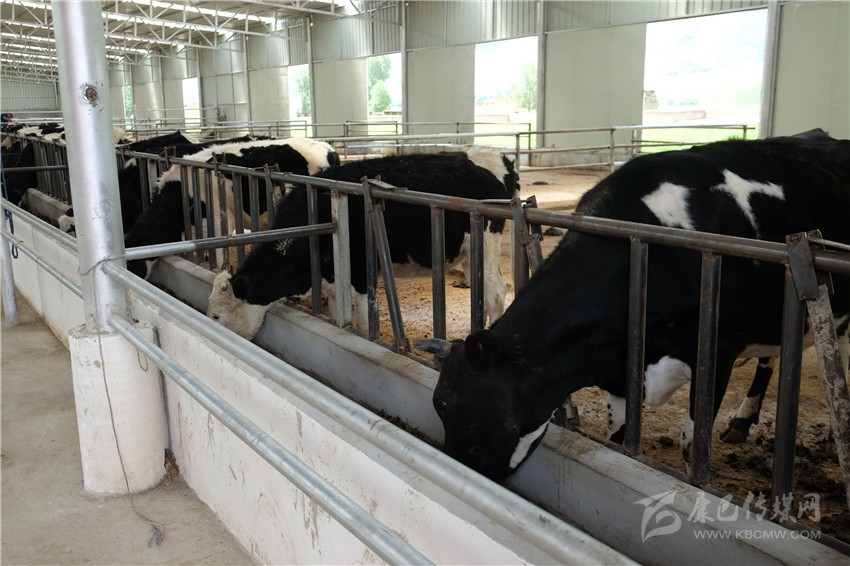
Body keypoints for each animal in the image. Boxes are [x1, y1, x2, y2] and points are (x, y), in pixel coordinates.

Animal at [207, 147, 519, 339]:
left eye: (217, 317)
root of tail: (497, 157)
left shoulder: (358, 269)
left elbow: (363, 317)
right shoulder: (331, 279)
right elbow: (339, 314)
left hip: (486, 241)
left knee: (496, 292)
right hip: (467, 253)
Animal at [414, 133, 850, 483]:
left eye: (482, 415)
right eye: (441, 406)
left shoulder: (718, 353)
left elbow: (692, 448)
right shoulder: (621, 370)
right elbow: (619, 437)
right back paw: (743, 421)